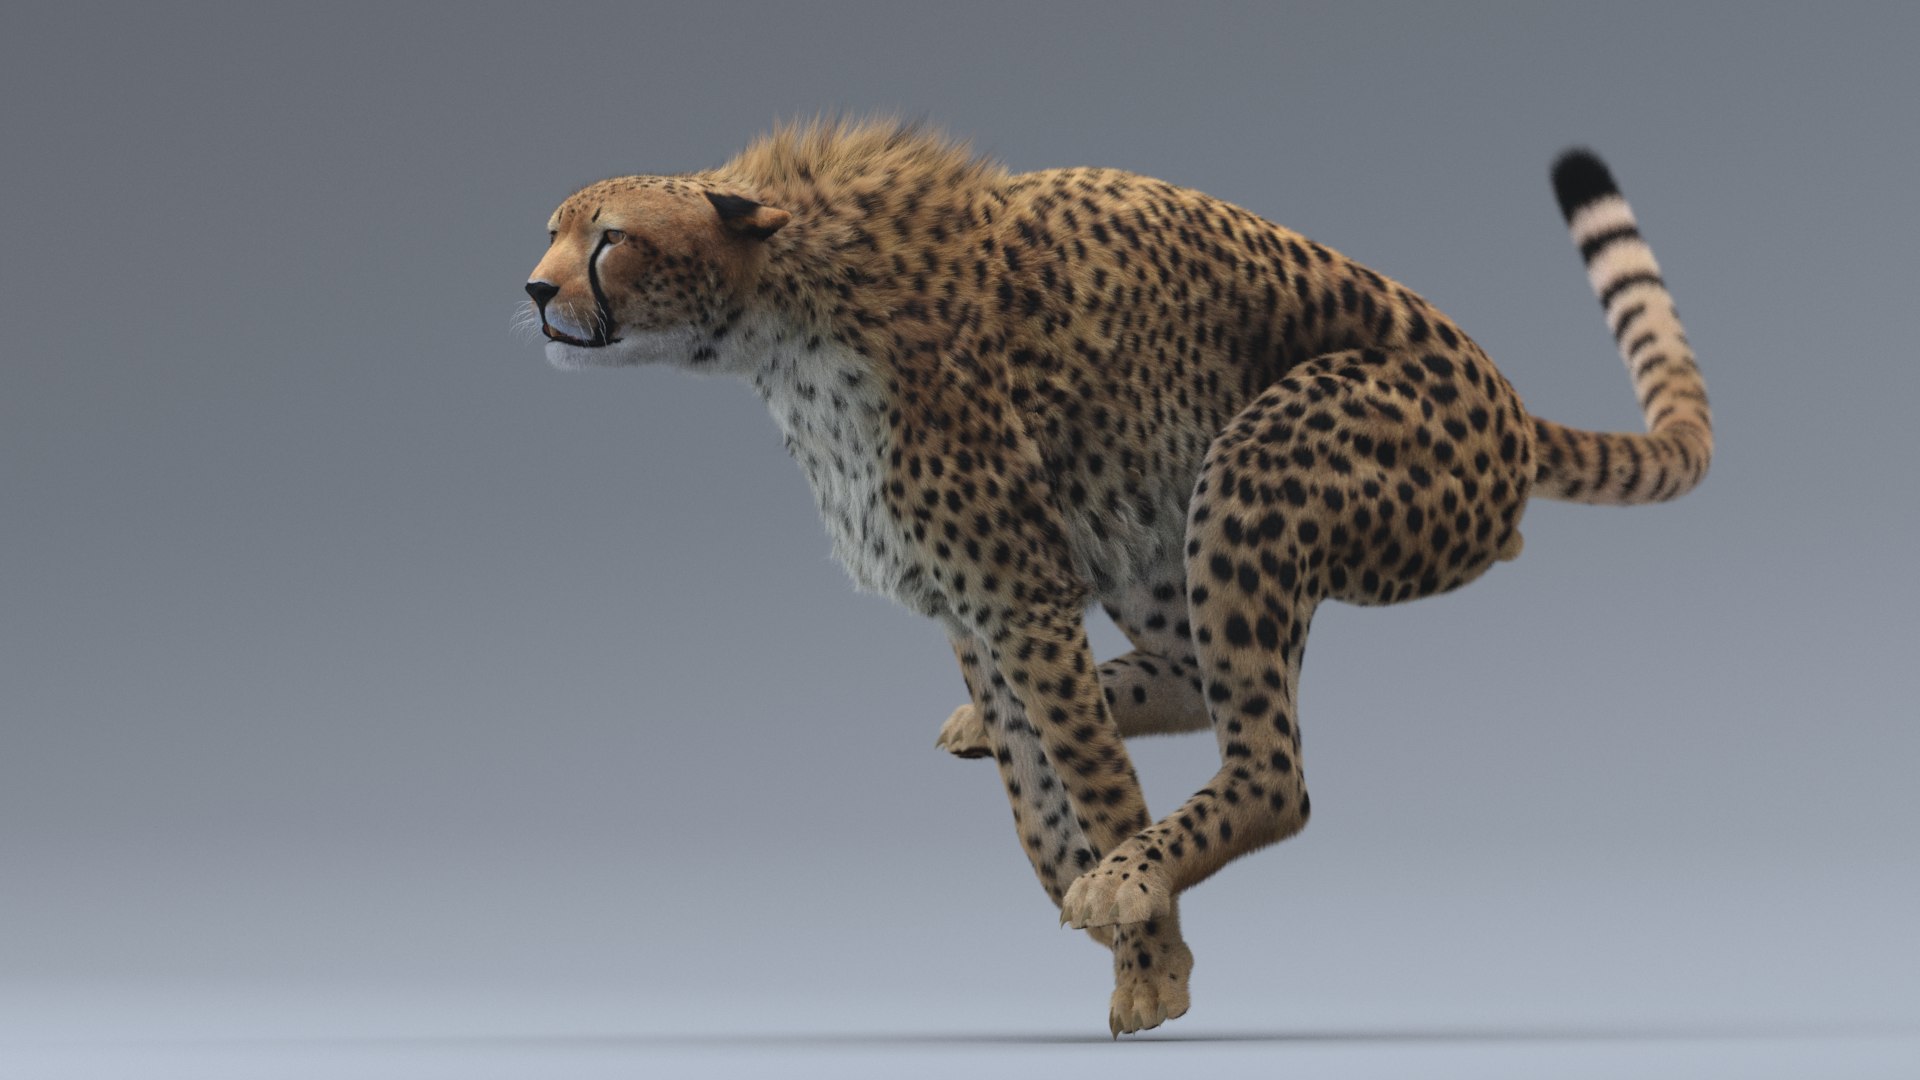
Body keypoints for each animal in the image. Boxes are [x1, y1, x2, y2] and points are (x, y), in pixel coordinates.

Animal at [523, 119, 1711, 1037]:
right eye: (553, 232)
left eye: (611, 239)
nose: (533, 290)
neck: (785, 307)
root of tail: (1508, 401)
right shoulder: (974, 606)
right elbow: (1037, 798)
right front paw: (1089, 891)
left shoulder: (1018, 594)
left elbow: (1091, 781)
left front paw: (1146, 956)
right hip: (1149, 514)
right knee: (1188, 680)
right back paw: (1014, 740)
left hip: (1257, 462)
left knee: (1273, 769)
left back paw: (1140, 861)